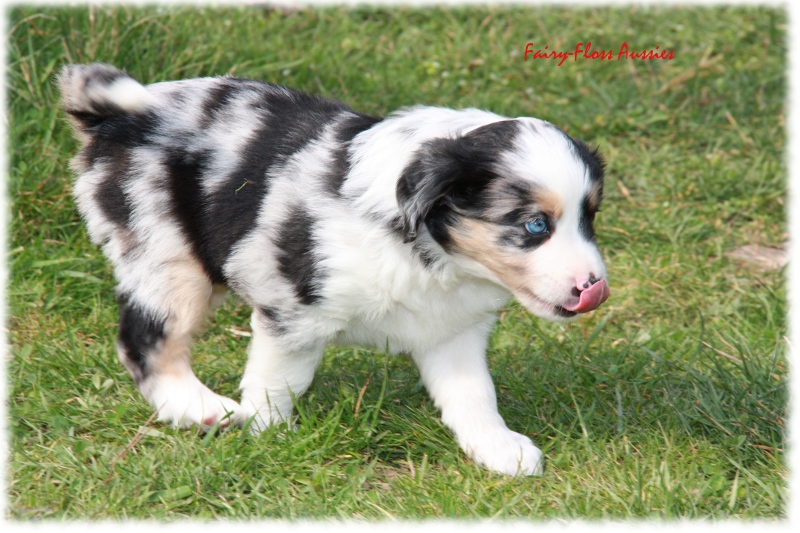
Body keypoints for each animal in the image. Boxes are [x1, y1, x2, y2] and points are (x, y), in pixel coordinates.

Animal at [59, 62, 608, 474]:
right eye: (535, 225)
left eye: (590, 217)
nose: (595, 287)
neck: (433, 254)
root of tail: (112, 118)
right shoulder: (292, 311)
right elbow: (279, 381)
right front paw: (269, 438)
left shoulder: (451, 328)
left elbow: (473, 393)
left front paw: (500, 449)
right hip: (167, 256)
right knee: (144, 339)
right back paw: (200, 408)